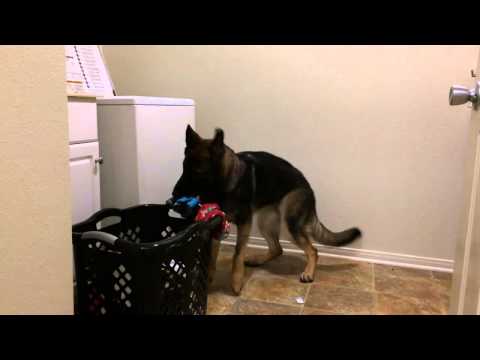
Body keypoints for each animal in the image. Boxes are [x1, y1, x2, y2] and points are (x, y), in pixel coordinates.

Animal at [172, 125, 360, 294]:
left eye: (197, 172)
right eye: (183, 167)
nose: (174, 194)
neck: (225, 182)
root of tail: (309, 188)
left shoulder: (245, 223)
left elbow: (237, 254)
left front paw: (236, 282)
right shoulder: (218, 225)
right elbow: (212, 256)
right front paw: (208, 279)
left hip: (288, 226)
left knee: (313, 250)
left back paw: (308, 272)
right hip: (265, 223)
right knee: (278, 249)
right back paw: (259, 260)